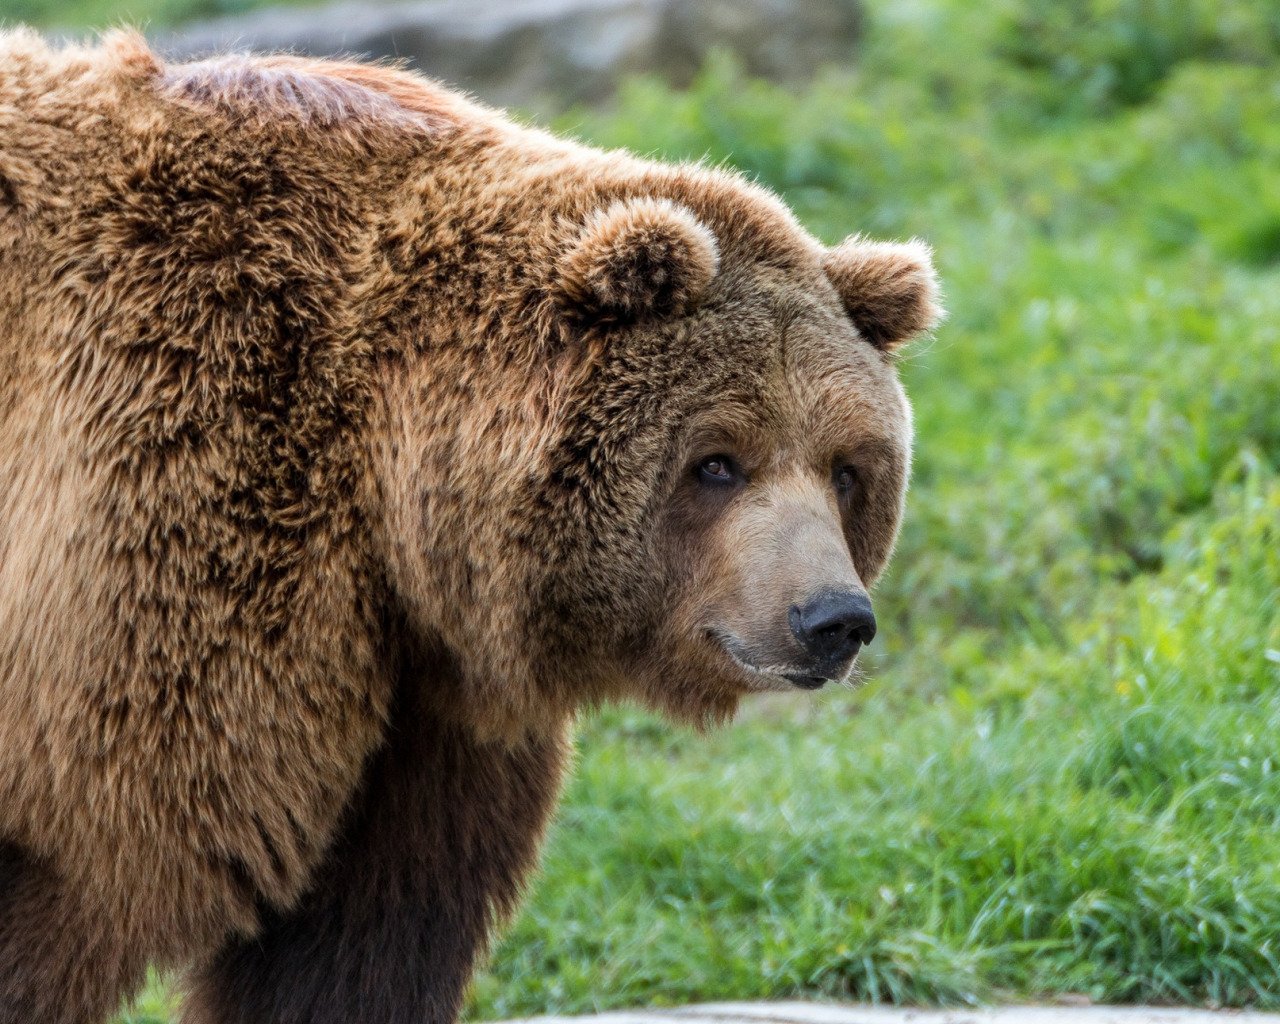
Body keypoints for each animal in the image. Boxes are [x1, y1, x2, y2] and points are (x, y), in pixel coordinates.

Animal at [0, 28, 942, 1024]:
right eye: (718, 461)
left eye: (846, 469)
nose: (831, 618)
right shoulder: (184, 492)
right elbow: (80, 859)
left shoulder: (424, 714)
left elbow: (361, 941)